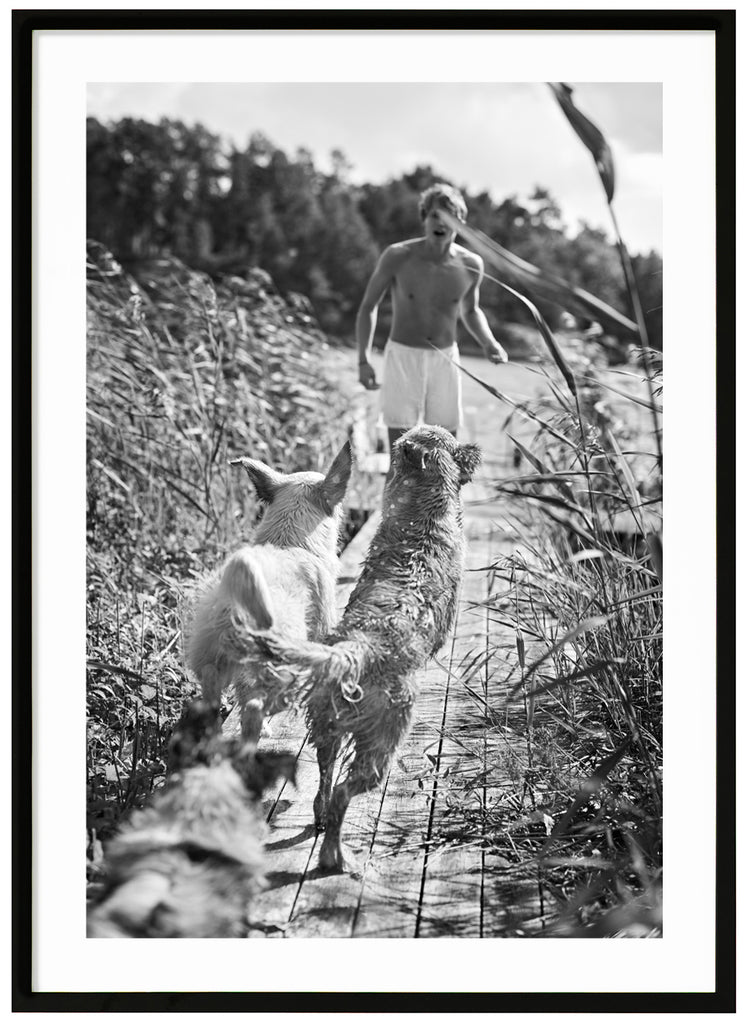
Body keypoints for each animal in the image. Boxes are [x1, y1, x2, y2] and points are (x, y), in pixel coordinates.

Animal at [185, 444, 350, 741]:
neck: (289, 542)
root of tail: (237, 609)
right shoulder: (322, 630)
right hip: (285, 672)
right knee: (254, 707)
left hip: (212, 662)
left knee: (213, 699)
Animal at [245, 423, 477, 872]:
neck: (422, 517)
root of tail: (356, 650)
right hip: (382, 745)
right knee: (342, 793)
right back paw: (334, 856)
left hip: (325, 729)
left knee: (324, 780)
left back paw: (320, 822)